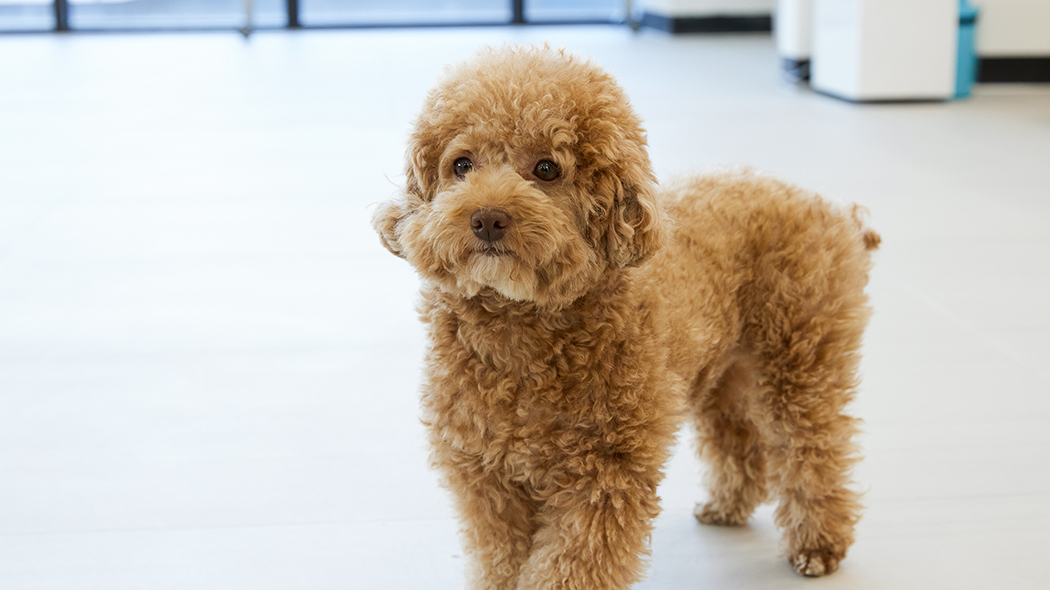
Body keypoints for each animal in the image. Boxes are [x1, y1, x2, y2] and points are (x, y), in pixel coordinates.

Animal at [372, 45, 879, 589]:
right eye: (461, 164)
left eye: (547, 168)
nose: (487, 218)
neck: (520, 330)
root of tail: (831, 208)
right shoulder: (486, 475)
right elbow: (500, 554)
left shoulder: (604, 474)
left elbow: (571, 564)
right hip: (720, 368)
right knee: (739, 438)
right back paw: (726, 506)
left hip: (801, 360)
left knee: (813, 449)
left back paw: (817, 545)